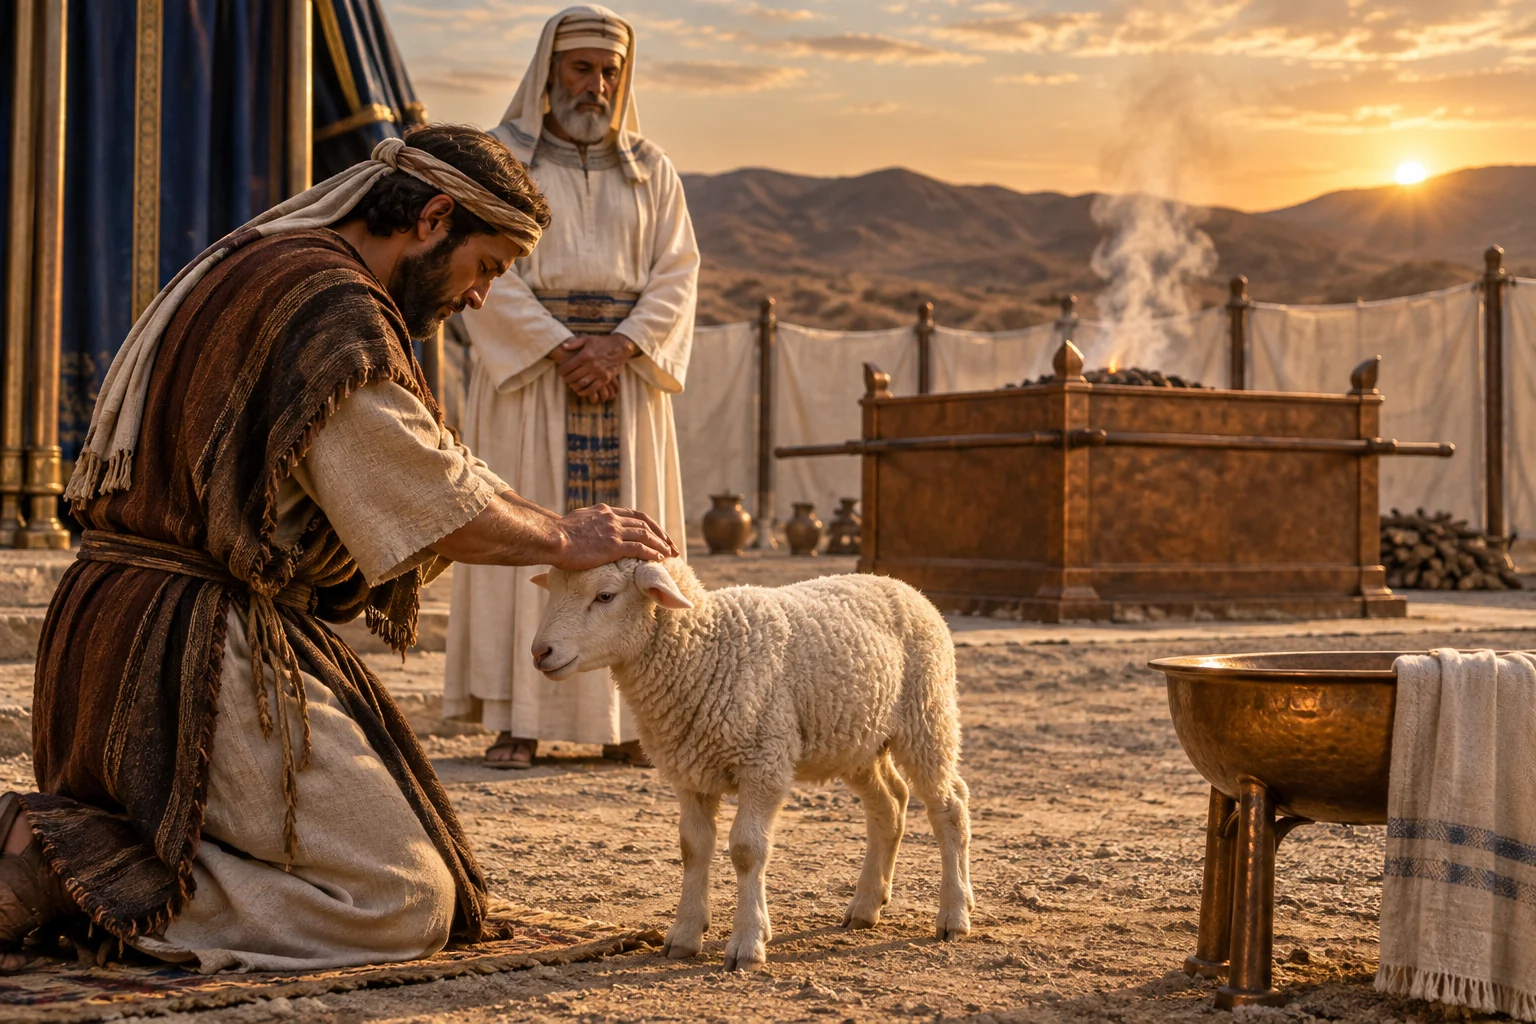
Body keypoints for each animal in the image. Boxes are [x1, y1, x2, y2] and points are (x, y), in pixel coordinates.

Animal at [529, 557, 973, 971]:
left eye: (605, 595)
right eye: (553, 588)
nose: (539, 652)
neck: (705, 649)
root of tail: (903, 585)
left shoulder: (764, 762)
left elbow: (746, 849)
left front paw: (748, 942)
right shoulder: (689, 772)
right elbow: (692, 847)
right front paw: (684, 934)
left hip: (927, 715)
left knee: (949, 807)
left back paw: (954, 914)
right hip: (857, 741)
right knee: (889, 804)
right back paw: (866, 905)